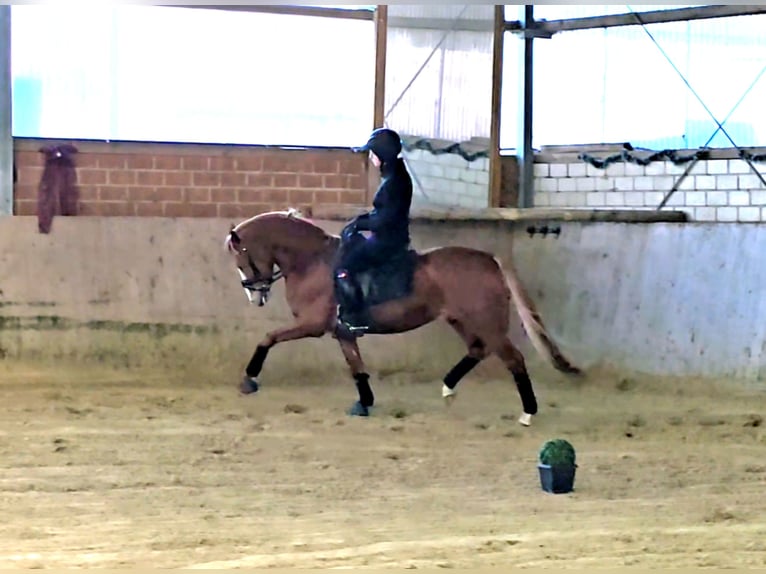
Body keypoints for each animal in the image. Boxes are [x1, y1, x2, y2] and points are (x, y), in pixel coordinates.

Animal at [224, 209, 584, 426]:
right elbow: (357, 368)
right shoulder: (343, 332)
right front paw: (364, 403)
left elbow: (268, 338)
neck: (312, 261)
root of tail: (489, 260)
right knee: (478, 351)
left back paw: (528, 413)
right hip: (461, 320)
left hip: (487, 324)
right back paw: (448, 388)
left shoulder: (312, 325)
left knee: (513, 359)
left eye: (242, 258)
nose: (255, 295)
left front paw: (249, 379)